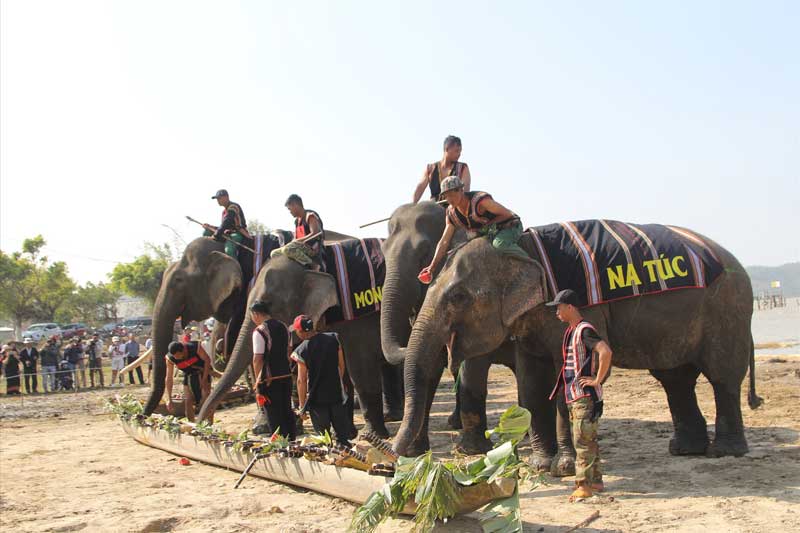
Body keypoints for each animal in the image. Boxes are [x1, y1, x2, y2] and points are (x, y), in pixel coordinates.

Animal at [198, 240, 404, 436]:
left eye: (267, 303)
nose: (202, 425)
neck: (316, 263)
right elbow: (341, 364)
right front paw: (349, 433)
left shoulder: (355, 316)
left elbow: (359, 363)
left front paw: (370, 436)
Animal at [394, 220, 764, 470]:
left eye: (458, 297)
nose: (392, 458)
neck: (521, 248)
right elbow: (531, 383)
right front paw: (541, 466)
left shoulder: (584, 309)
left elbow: (567, 376)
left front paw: (564, 467)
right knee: (676, 379)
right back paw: (685, 450)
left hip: (727, 310)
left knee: (722, 377)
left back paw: (724, 452)